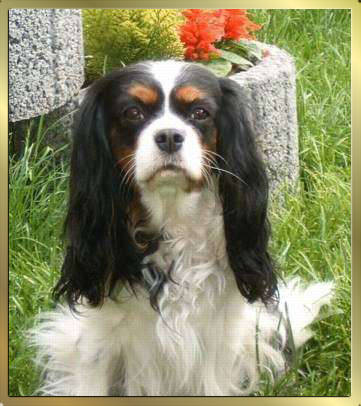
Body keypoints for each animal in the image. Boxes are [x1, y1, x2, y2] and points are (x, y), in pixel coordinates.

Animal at [29, 61, 334, 396]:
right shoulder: (101, 339)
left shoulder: (214, 349)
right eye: (133, 112)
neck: (171, 217)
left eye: (200, 112)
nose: (170, 136)